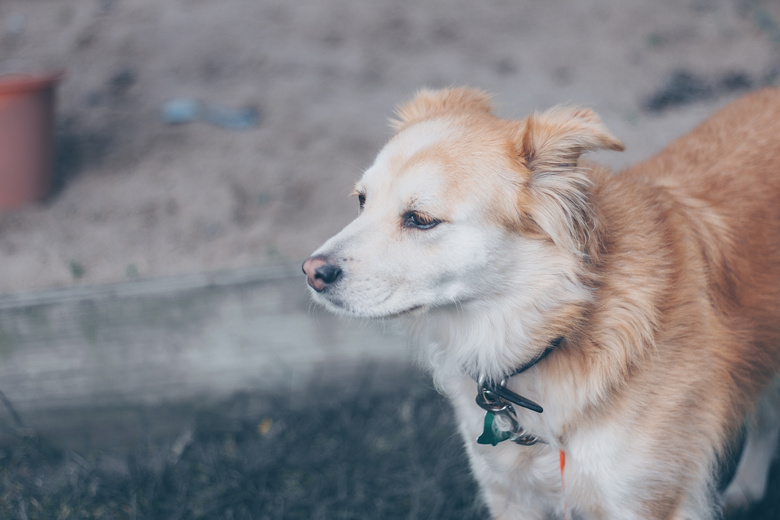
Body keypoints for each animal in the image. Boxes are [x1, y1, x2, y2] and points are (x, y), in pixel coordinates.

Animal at [302, 87, 780, 516]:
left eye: (420, 219)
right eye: (362, 201)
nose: (310, 272)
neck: (557, 326)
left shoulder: (648, 502)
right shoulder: (512, 495)